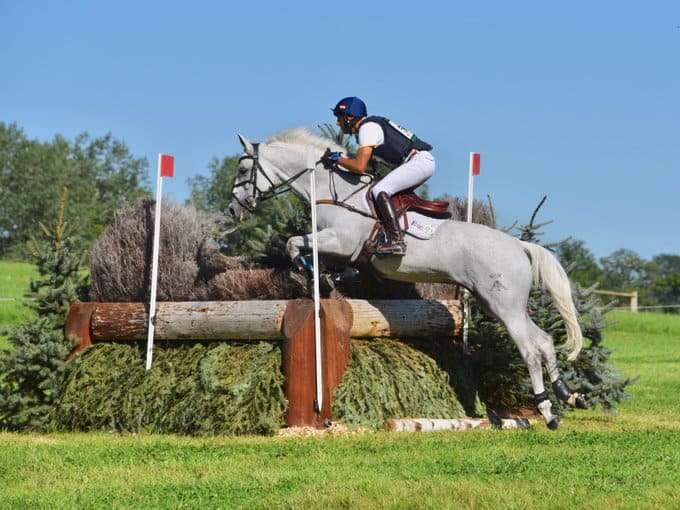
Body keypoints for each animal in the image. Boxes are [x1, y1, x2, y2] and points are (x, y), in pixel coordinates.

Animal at [227, 127, 584, 430]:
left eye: (243, 171)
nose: (233, 209)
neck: (335, 192)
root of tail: (519, 245)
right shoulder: (349, 252)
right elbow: (337, 264)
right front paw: (325, 277)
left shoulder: (340, 240)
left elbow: (293, 243)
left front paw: (311, 272)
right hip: (497, 302)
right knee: (544, 340)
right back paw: (568, 395)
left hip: (504, 305)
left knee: (530, 349)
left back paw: (547, 412)